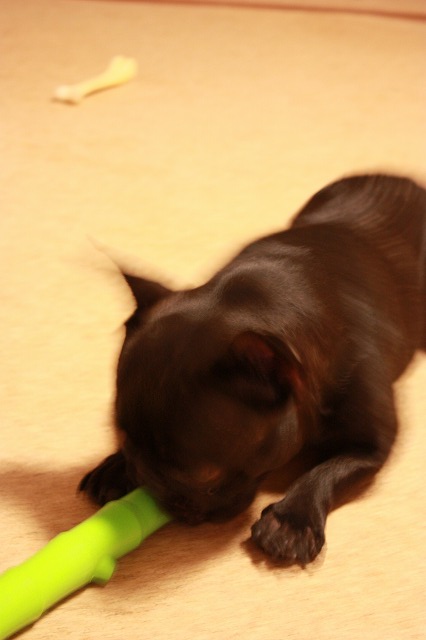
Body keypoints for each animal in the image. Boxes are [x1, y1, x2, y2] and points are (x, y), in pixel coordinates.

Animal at [80, 174, 426, 566]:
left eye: (199, 474)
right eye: (124, 438)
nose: (148, 484)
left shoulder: (371, 446)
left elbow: (327, 469)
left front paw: (290, 521)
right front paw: (116, 466)